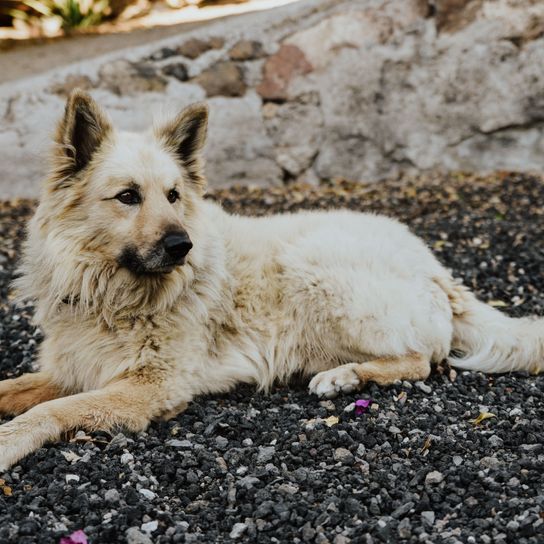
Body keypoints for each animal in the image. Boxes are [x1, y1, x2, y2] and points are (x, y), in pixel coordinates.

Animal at [1, 91, 544, 470]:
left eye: (173, 195)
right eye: (128, 196)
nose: (182, 246)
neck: (111, 294)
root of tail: (436, 267)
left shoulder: (149, 387)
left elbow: (49, 412)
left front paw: (9, 442)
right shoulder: (71, 369)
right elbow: (17, 389)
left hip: (312, 267)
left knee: (420, 361)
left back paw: (344, 377)